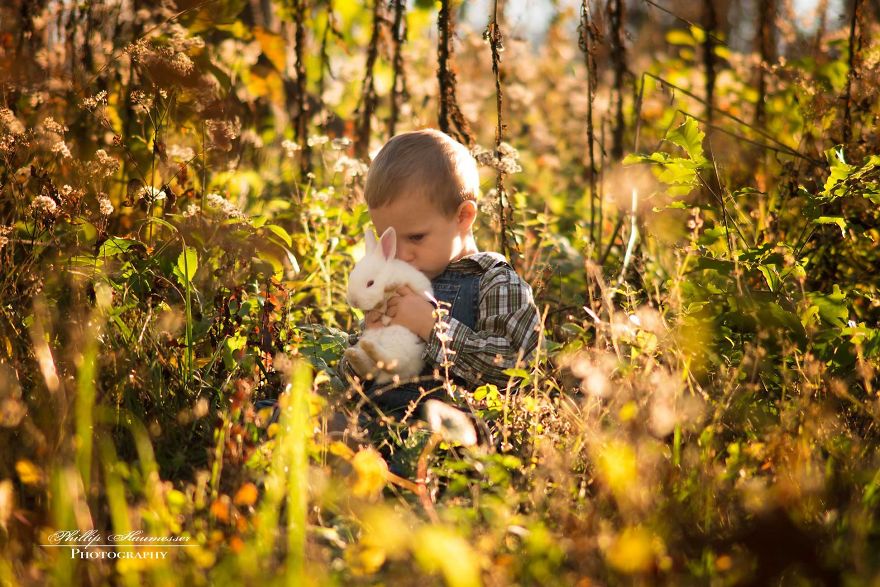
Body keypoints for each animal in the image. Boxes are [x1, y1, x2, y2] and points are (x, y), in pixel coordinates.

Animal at [348, 226, 436, 386]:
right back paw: (354, 354)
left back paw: (367, 349)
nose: (353, 302)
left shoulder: (420, 287)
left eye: (370, 283)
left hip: (400, 343)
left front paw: (390, 287)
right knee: (369, 370)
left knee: (394, 362)